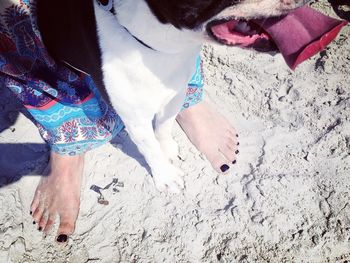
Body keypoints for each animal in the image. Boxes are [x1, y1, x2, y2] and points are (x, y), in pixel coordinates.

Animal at [36, 0, 308, 194]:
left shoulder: (175, 92)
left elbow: (165, 126)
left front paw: (166, 147)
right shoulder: (135, 119)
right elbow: (149, 149)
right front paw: (165, 176)